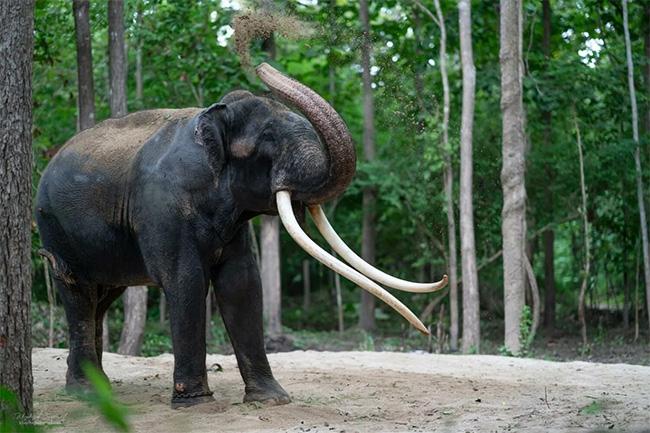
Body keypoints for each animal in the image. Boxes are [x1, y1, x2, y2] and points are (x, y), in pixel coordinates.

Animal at [35, 63, 447, 408]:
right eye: (268, 138)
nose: (262, 65)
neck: (212, 115)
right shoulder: (161, 206)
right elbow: (185, 280)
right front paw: (197, 404)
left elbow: (242, 283)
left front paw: (272, 399)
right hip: (55, 230)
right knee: (77, 292)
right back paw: (86, 392)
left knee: (102, 298)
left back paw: (100, 387)